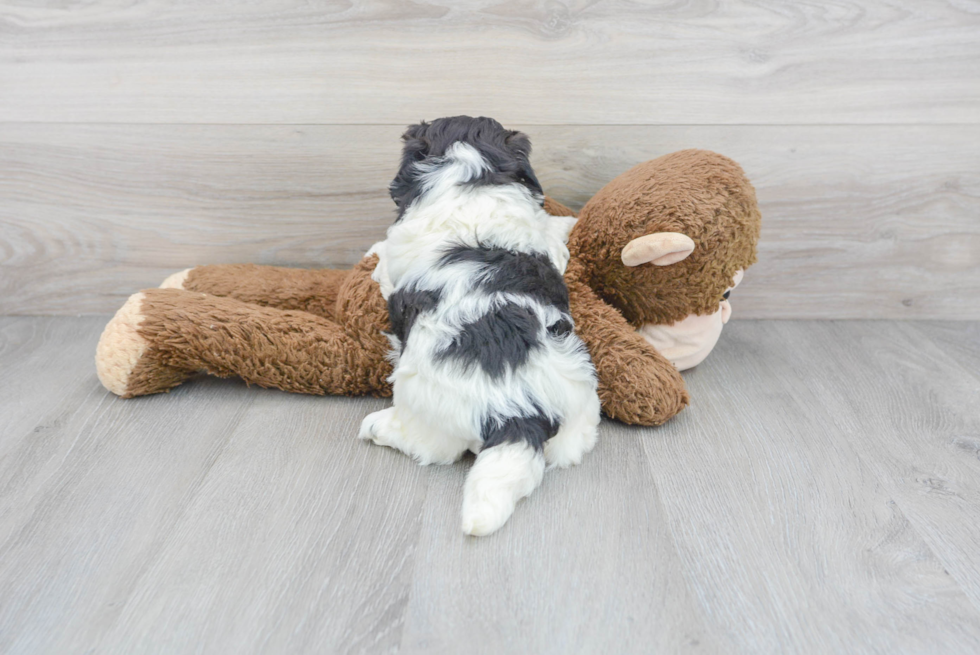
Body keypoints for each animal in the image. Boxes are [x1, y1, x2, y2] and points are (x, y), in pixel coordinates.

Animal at [358, 116, 596, 540]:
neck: (471, 177)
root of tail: (518, 412)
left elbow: (384, 258)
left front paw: (372, 252)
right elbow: (552, 233)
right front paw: (568, 223)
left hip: (425, 403)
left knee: (431, 445)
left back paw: (377, 427)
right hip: (579, 403)